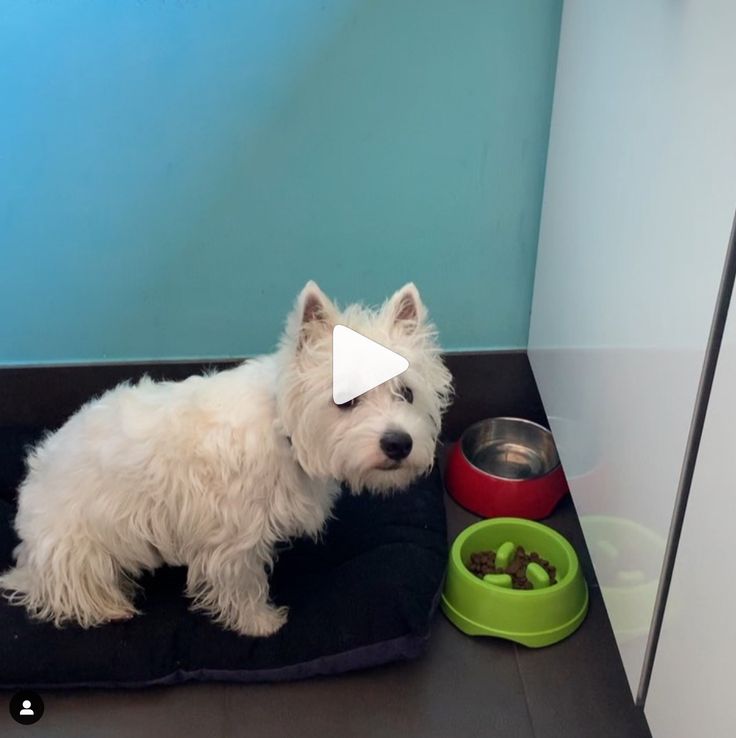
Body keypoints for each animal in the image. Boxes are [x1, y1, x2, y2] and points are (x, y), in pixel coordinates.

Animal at [0, 278, 452, 636]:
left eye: (407, 392)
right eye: (346, 399)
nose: (399, 444)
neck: (284, 430)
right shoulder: (234, 536)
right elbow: (242, 584)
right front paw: (261, 624)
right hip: (78, 548)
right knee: (65, 591)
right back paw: (111, 607)